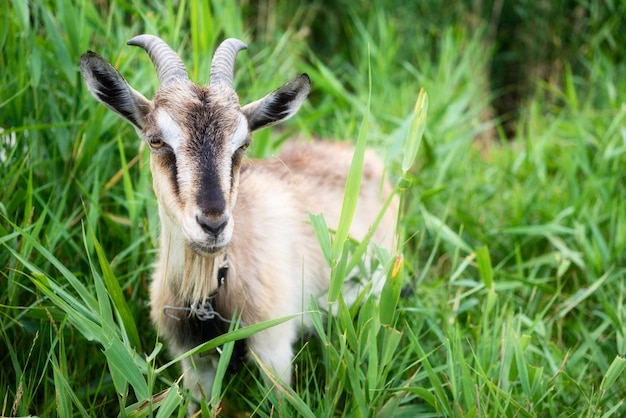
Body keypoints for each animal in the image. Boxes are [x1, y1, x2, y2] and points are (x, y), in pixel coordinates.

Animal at [80, 35, 398, 404]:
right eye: (156, 140)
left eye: (243, 144)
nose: (213, 224)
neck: (208, 294)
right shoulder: (194, 363)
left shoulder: (274, 350)